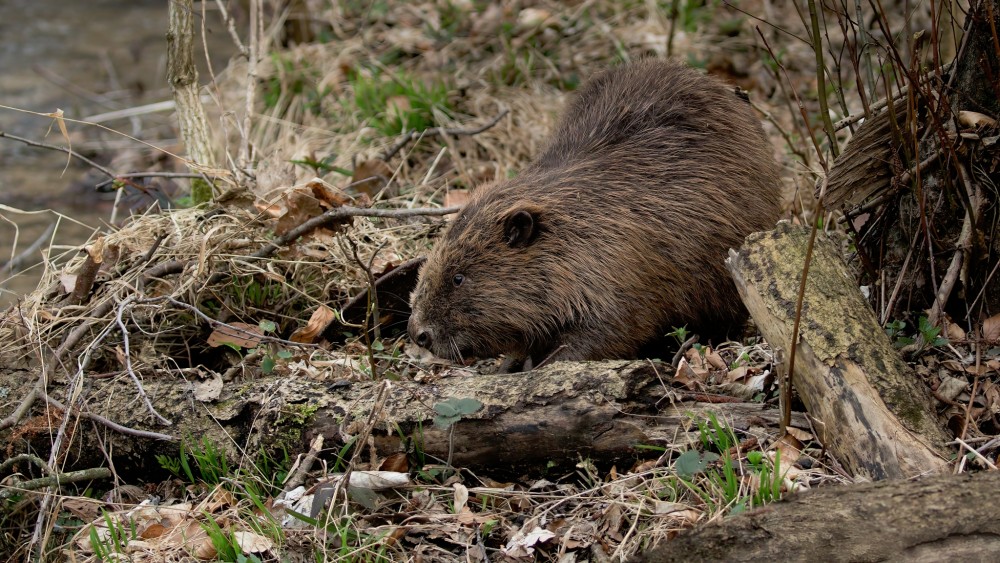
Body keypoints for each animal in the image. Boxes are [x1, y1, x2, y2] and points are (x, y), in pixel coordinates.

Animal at [406, 59, 780, 370]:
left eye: (458, 278)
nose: (418, 334)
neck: (576, 225)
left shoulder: (617, 273)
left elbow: (609, 331)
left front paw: (539, 368)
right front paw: (508, 365)